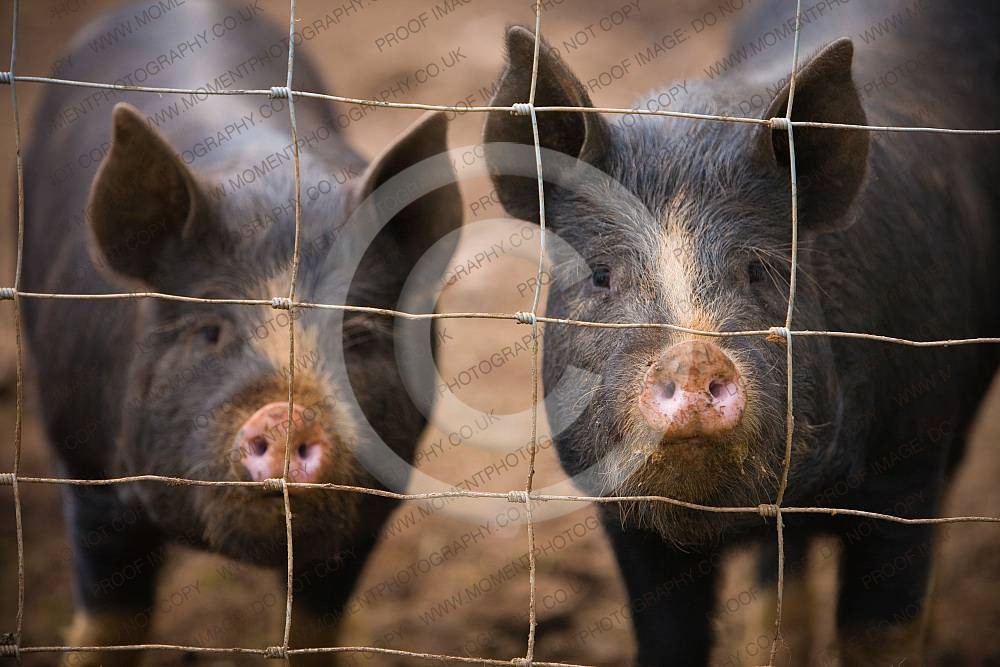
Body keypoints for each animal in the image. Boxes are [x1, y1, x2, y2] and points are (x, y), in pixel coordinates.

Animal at [21, 2, 460, 665]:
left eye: (357, 336)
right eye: (209, 331)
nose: (286, 416)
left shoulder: (379, 499)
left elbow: (315, 629)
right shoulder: (89, 477)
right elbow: (110, 625)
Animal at [483, 2, 1000, 665]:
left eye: (758, 271)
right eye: (600, 275)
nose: (694, 358)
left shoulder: (908, 465)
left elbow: (880, 633)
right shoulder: (620, 513)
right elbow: (670, 640)